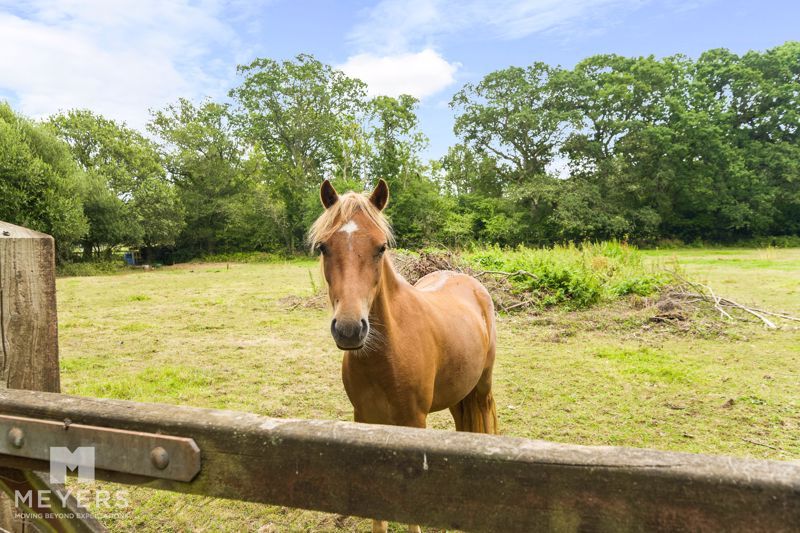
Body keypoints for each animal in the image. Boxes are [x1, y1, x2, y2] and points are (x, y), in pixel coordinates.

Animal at [310, 180, 496, 532]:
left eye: (381, 247)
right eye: (324, 247)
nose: (350, 329)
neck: (386, 355)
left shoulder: (413, 422)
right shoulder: (365, 419)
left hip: (482, 388)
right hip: (457, 391)